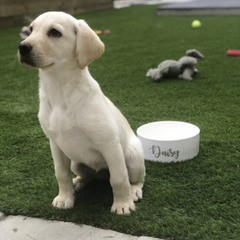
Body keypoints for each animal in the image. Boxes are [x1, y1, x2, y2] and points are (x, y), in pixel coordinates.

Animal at [18, 11, 144, 214]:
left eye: (54, 32)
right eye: (30, 30)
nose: (22, 47)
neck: (60, 90)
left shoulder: (110, 144)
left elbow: (118, 178)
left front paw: (122, 204)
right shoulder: (56, 144)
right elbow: (61, 174)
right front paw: (65, 198)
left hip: (133, 156)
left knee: (135, 179)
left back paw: (134, 191)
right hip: (76, 161)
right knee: (88, 176)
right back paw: (77, 182)